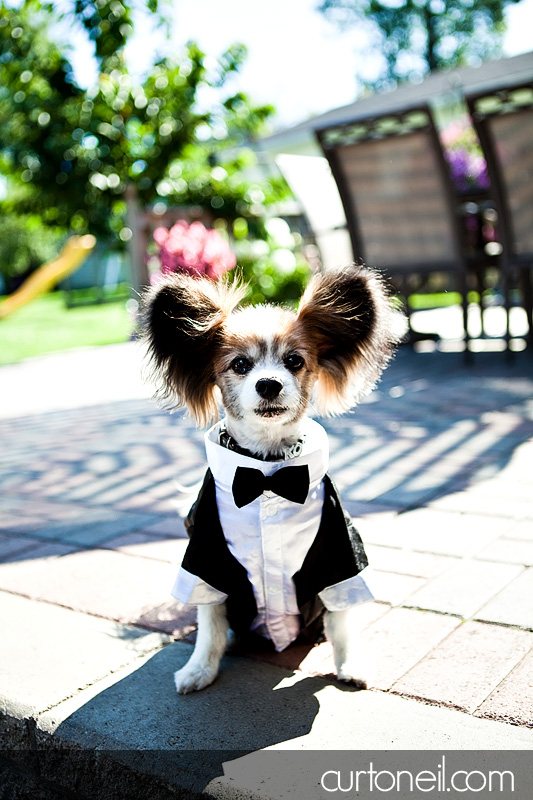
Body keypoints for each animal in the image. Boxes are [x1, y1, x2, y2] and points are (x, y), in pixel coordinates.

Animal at [141, 266, 400, 692]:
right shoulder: (206, 558)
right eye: (240, 365)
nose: (269, 384)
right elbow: (210, 624)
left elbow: (342, 620)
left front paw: (351, 663)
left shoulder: (339, 553)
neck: (265, 473)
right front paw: (200, 669)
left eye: (294, 361)